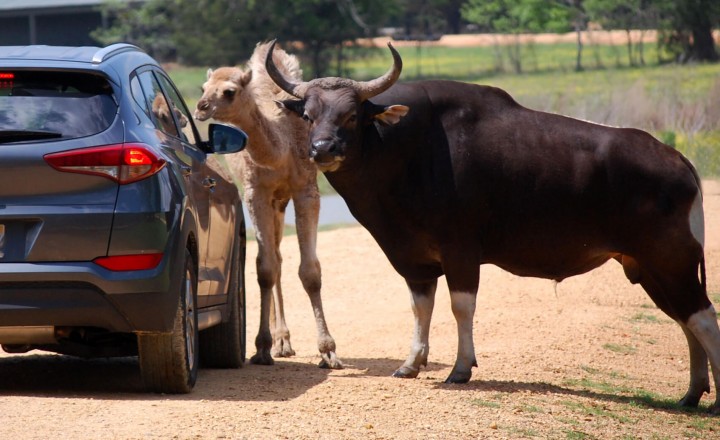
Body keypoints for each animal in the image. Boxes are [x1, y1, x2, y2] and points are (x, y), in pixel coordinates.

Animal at [268, 38, 720, 412]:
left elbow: (460, 306)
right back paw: (691, 394)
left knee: (702, 318)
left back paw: (710, 401)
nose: (322, 149)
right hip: (651, 269)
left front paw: (460, 368)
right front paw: (411, 363)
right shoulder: (413, 257)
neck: (405, 151)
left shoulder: (461, 251)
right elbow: (420, 306)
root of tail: (679, 161)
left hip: (672, 261)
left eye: (350, 116)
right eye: (308, 116)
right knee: (685, 320)